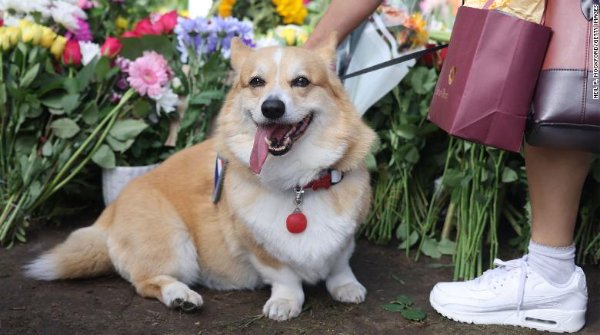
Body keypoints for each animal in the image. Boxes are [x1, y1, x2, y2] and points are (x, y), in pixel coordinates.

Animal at [27, 35, 376, 322]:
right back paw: (181, 296)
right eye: (256, 82)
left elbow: (340, 263)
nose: (272, 107)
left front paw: (346, 287)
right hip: (174, 241)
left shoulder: (345, 237)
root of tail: (108, 214)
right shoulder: (257, 246)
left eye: (301, 81)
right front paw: (286, 302)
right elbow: (284, 276)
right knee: (146, 282)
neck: (298, 185)